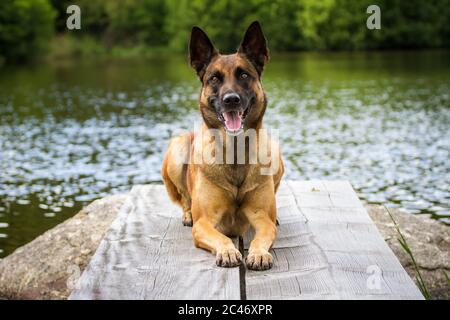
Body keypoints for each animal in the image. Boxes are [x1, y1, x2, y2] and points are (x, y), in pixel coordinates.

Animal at [160, 20, 284, 270]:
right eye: (214, 78)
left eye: (244, 75)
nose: (231, 100)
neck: (235, 153)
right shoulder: (205, 223)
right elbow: (221, 237)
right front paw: (227, 251)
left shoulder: (261, 217)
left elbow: (262, 235)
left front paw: (258, 253)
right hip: (178, 148)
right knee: (185, 200)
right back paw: (187, 214)